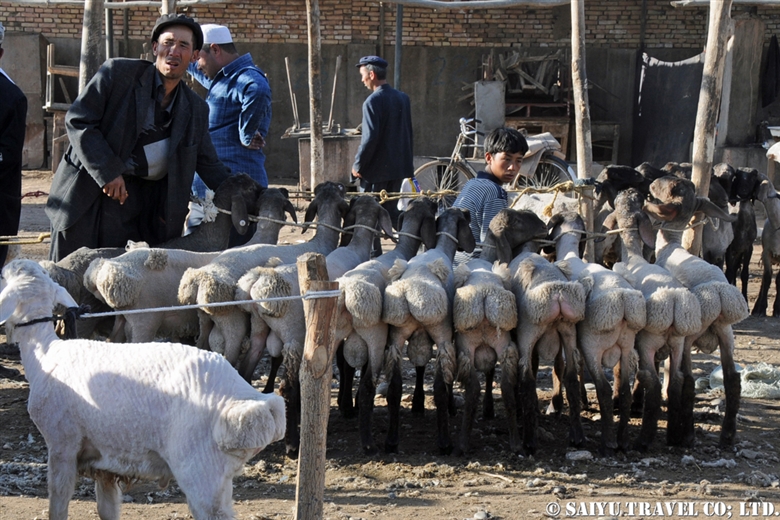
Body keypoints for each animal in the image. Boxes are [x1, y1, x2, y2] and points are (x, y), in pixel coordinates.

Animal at [0, 258, 284, 520]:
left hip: (201, 469)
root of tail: (255, 403)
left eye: (6, 276)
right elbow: (107, 509)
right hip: (219, 474)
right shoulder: (106, 459)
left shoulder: (62, 443)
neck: (45, 351)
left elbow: (58, 503)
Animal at [382, 207, 476, 456]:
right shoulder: (447, 333)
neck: (442, 248)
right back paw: (444, 443)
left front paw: (417, 403)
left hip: (397, 334)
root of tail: (408, 291)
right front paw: (451, 406)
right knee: (440, 387)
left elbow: (420, 365)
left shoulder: (418, 334)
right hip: (440, 330)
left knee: (394, 386)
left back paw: (392, 441)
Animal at [548, 211, 644, 456]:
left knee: (604, 389)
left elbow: (564, 370)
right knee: (624, 391)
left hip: (593, 344)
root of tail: (623, 300)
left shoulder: (570, 334)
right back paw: (623, 440)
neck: (570, 253)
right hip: (626, 345)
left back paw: (608, 441)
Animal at [608, 188, 704, 450]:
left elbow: (621, 369)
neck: (632, 255)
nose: (629, 190)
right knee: (677, 380)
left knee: (652, 380)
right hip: (677, 342)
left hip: (649, 340)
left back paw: (644, 439)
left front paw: (619, 401)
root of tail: (673, 300)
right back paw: (675, 436)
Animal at [644, 176, 748, 446]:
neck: (670, 245)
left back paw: (688, 433)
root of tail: (719, 295)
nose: (653, 181)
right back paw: (728, 434)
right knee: (733, 379)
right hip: (727, 333)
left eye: (671, 188)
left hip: (692, 332)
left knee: (689, 381)